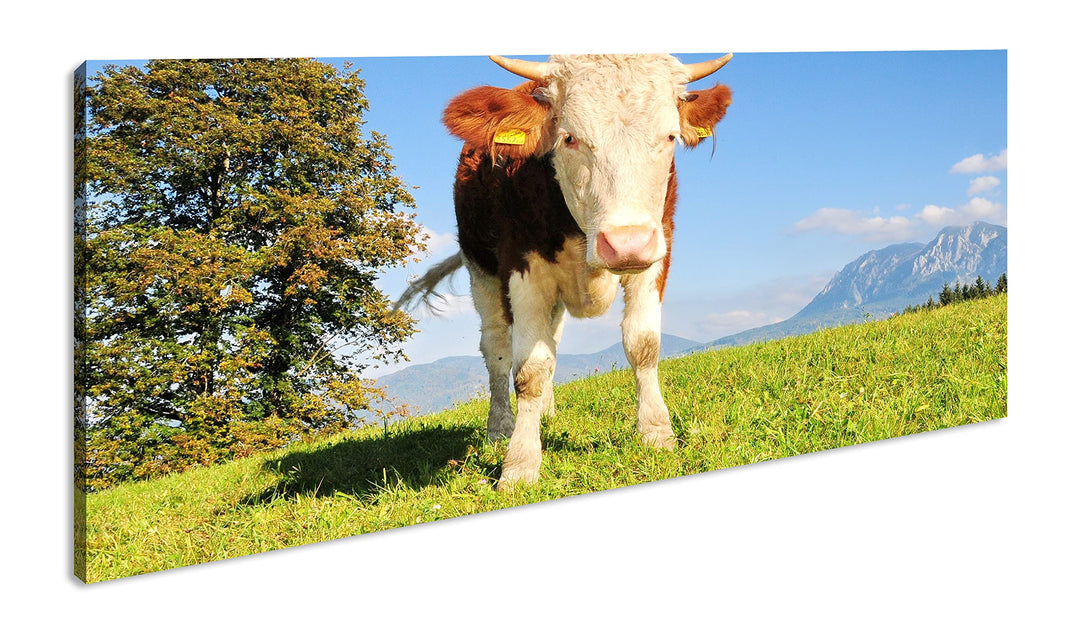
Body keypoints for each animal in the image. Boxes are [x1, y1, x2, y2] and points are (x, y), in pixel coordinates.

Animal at [396, 54, 733, 490]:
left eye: (671, 136)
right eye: (569, 138)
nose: (626, 243)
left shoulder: (658, 249)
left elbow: (642, 345)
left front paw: (657, 433)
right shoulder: (522, 269)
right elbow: (529, 369)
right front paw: (519, 465)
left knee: (551, 340)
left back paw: (545, 413)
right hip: (480, 269)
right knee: (497, 349)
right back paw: (500, 427)